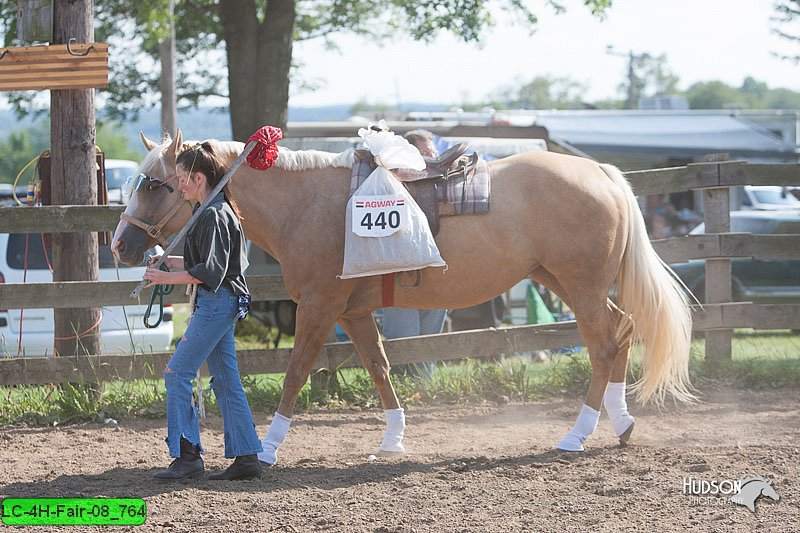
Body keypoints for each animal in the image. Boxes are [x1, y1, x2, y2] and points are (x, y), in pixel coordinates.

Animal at [112, 131, 692, 460]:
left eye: (156, 184)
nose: (121, 244)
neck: (308, 204)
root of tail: (604, 174)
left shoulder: (319, 307)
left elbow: (296, 372)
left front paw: (271, 447)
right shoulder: (354, 313)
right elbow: (379, 369)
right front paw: (392, 440)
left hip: (581, 286)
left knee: (604, 344)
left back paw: (578, 434)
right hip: (563, 281)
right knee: (621, 331)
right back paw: (621, 423)